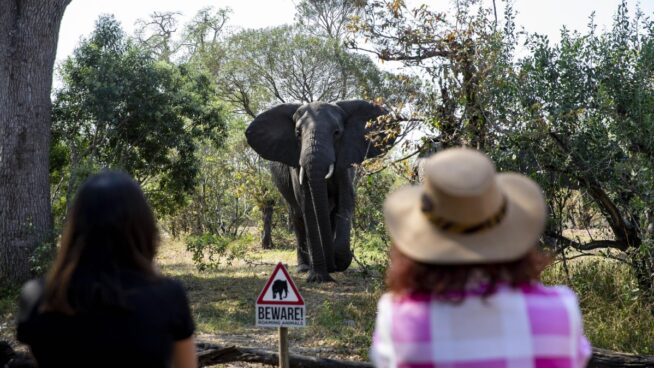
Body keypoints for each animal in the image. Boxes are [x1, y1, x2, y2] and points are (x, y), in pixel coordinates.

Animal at [246, 100, 394, 282]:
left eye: (337, 133)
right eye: (298, 133)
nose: (333, 266)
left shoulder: (346, 159)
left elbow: (346, 200)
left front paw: (339, 260)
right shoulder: (297, 165)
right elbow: (308, 205)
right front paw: (318, 277)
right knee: (297, 216)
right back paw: (304, 267)